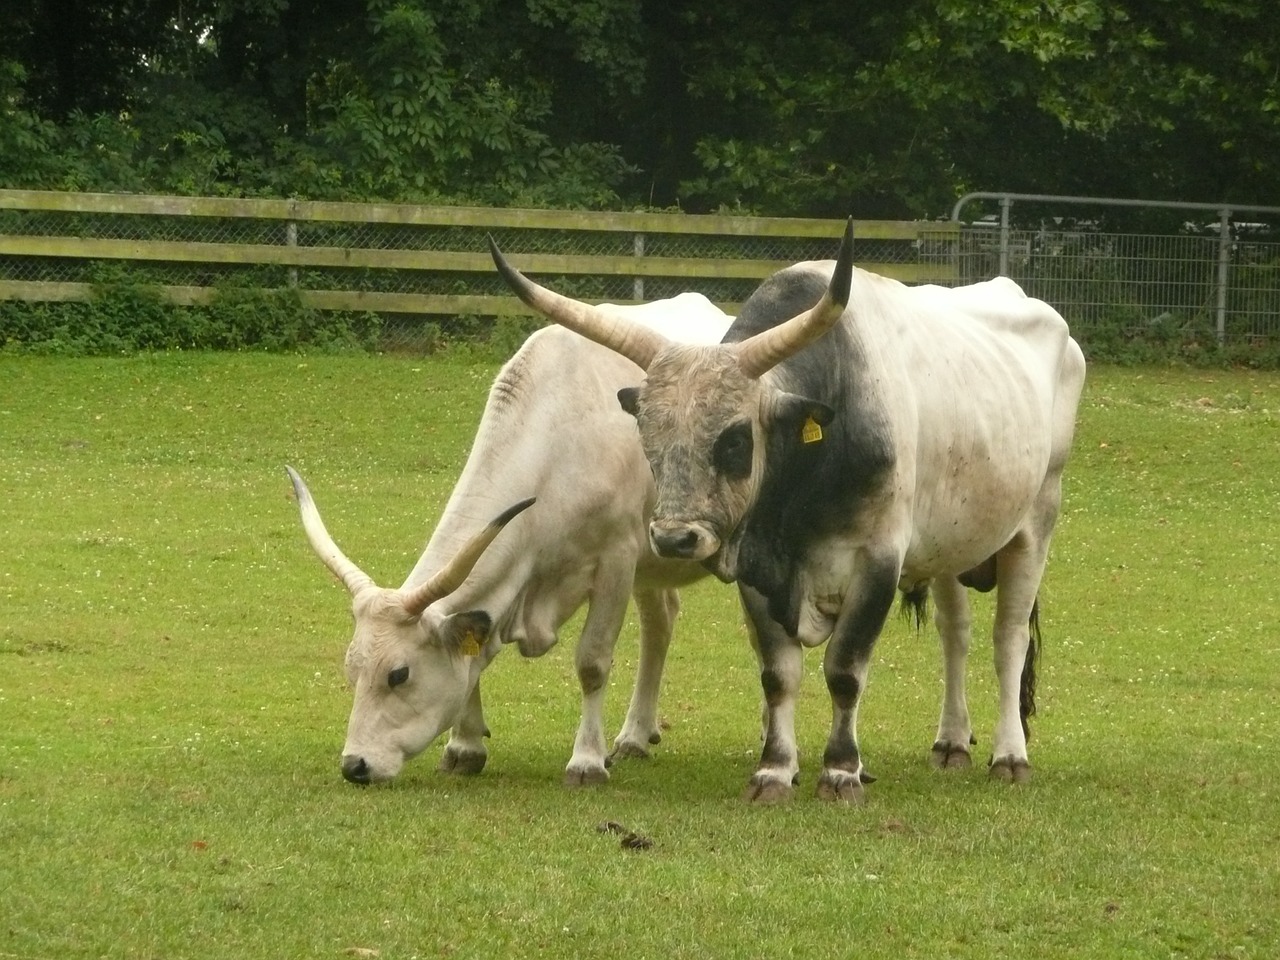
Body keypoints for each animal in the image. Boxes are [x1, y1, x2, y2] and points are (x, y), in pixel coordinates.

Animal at [290, 296, 732, 783]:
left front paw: (586, 761)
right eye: (352, 669)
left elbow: (593, 662)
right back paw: (635, 735)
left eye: (399, 674)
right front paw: (465, 746)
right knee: (660, 622)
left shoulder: (616, 558)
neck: (557, 438)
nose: (355, 765)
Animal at [494, 224, 1085, 803]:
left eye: (735, 440)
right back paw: (952, 743)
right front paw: (775, 770)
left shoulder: (878, 561)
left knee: (1008, 638)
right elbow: (779, 673)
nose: (674, 538)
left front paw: (841, 772)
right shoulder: (756, 570)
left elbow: (845, 669)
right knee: (954, 634)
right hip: (951, 543)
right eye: (647, 436)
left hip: (1036, 524)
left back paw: (1009, 755)